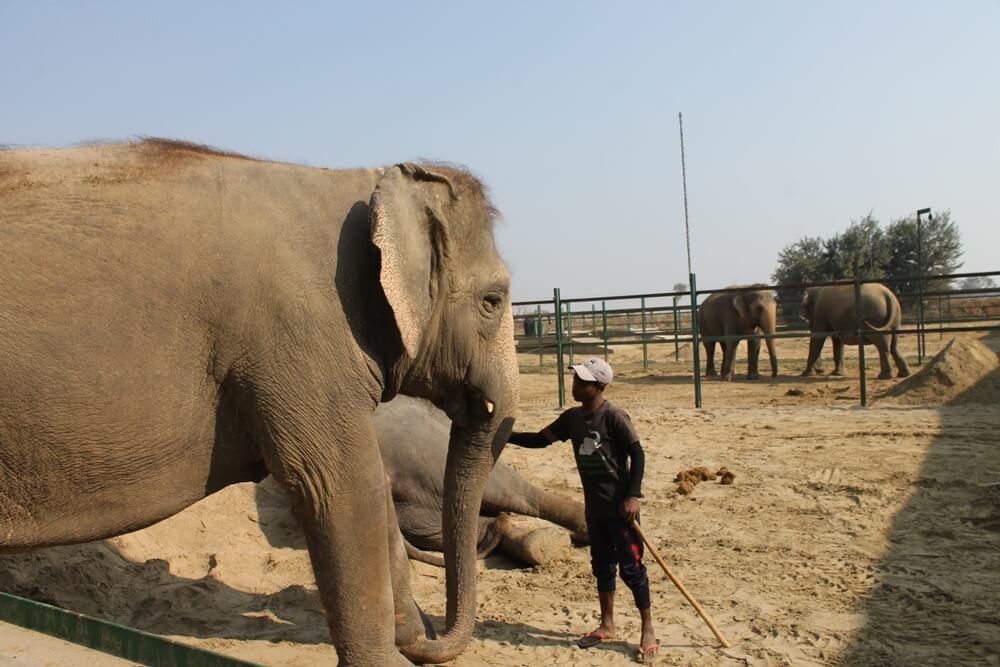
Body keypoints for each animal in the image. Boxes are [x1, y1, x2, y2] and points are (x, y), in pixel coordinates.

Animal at [1, 138, 524, 664]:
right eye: (493, 301)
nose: (427, 634)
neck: (361, 181)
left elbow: (370, 485)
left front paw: (408, 637)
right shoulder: (300, 338)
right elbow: (340, 486)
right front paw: (389, 657)